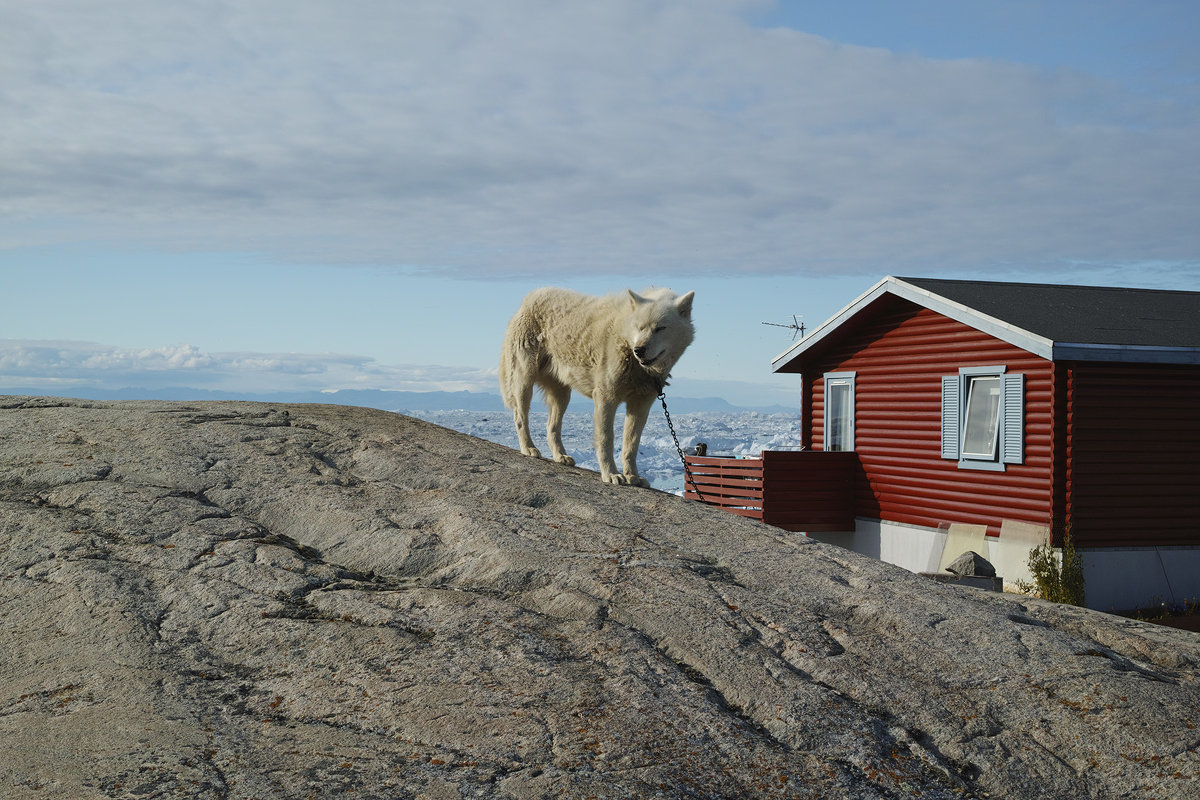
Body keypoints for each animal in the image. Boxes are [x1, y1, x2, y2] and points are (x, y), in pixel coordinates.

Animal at [499, 287, 696, 489]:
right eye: (639, 327)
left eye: (660, 328)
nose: (639, 350)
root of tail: (529, 297)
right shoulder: (605, 398)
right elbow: (606, 439)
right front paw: (611, 474)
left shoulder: (640, 405)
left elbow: (631, 445)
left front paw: (633, 476)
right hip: (524, 380)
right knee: (520, 417)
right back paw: (529, 448)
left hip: (562, 394)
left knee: (551, 426)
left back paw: (560, 456)